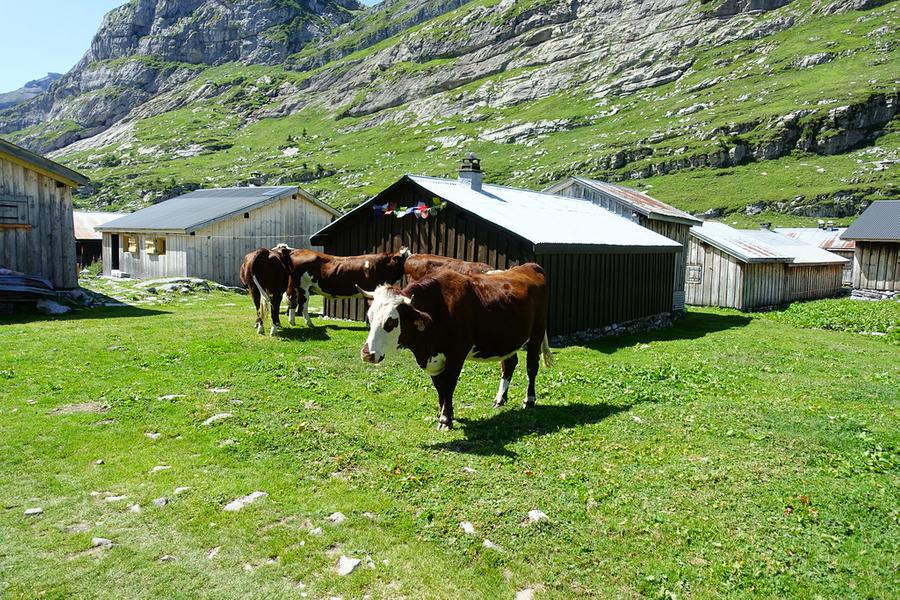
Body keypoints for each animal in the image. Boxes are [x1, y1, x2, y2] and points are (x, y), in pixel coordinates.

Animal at [358, 263, 552, 430]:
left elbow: (449, 385)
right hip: (507, 340)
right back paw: (500, 399)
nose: (367, 353)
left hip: (537, 332)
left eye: (391, 321)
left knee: (532, 367)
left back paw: (529, 400)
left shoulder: (456, 355)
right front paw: (444, 413)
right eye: (369, 317)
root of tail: (530, 266)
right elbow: (440, 387)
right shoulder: (434, 359)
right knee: (509, 364)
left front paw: (445, 419)